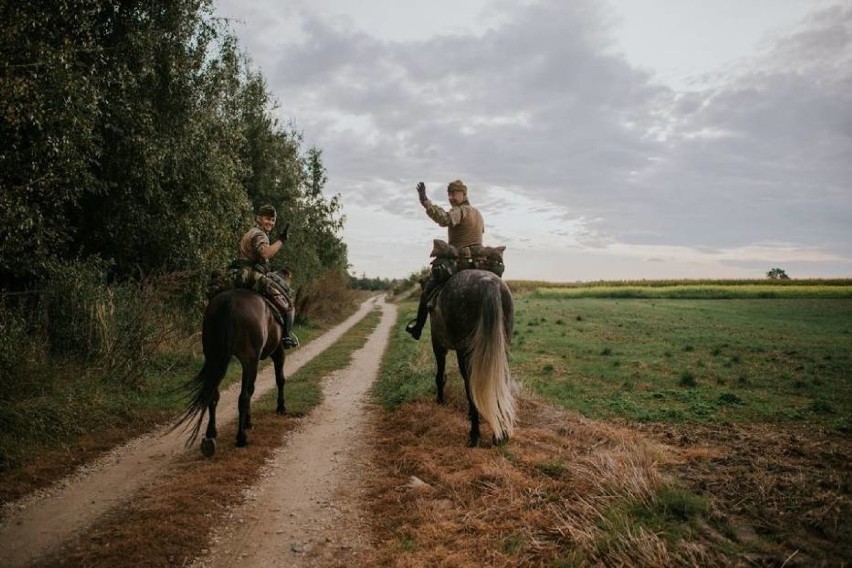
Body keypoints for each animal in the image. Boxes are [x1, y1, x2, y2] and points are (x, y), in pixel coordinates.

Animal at [173, 288, 286, 458]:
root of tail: (228, 302)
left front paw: (248, 422)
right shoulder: (276, 351)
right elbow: (279, 379)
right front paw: (281, 408)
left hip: (214, 357)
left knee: (213, 394)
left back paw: (211, 434)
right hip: (249, 360)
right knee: (243, 396)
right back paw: (241, 438)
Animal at [430, 268, 516, 446]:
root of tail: (489, 282)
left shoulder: (438, 345)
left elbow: (440, 376)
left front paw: (440, 400)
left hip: (464, 352)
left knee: (470, 385)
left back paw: (474, 435)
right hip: (500, 350)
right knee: (497, 382)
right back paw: (501, 433)